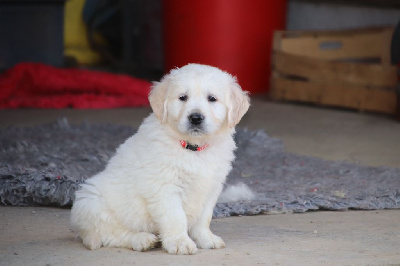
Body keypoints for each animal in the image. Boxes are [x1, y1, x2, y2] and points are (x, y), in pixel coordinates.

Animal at [70, 63, 248, 255]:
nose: (195, 118)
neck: (193, 148)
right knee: (111, 234)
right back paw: (143, 239)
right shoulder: (164, 186)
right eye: (182, 98)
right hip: (91, 201)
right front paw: (180, 242)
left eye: (212, 98)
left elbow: (203, 218)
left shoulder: (211, 187)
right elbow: (175, 217)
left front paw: (206, 239)